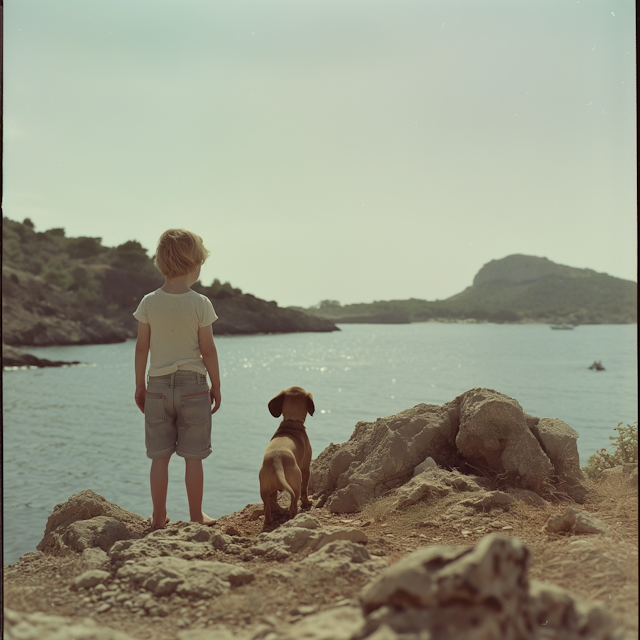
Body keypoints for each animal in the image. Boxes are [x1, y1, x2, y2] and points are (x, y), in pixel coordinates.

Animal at [256, 388, 314, 524]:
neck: (291, 422)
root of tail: (277, 461)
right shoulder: (306, 469)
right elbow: (305, 490)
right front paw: (307, 502)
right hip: (296, 485)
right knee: (293, 505)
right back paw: (295, 516)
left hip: (264, 490)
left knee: (267, 508)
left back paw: (269, 520)